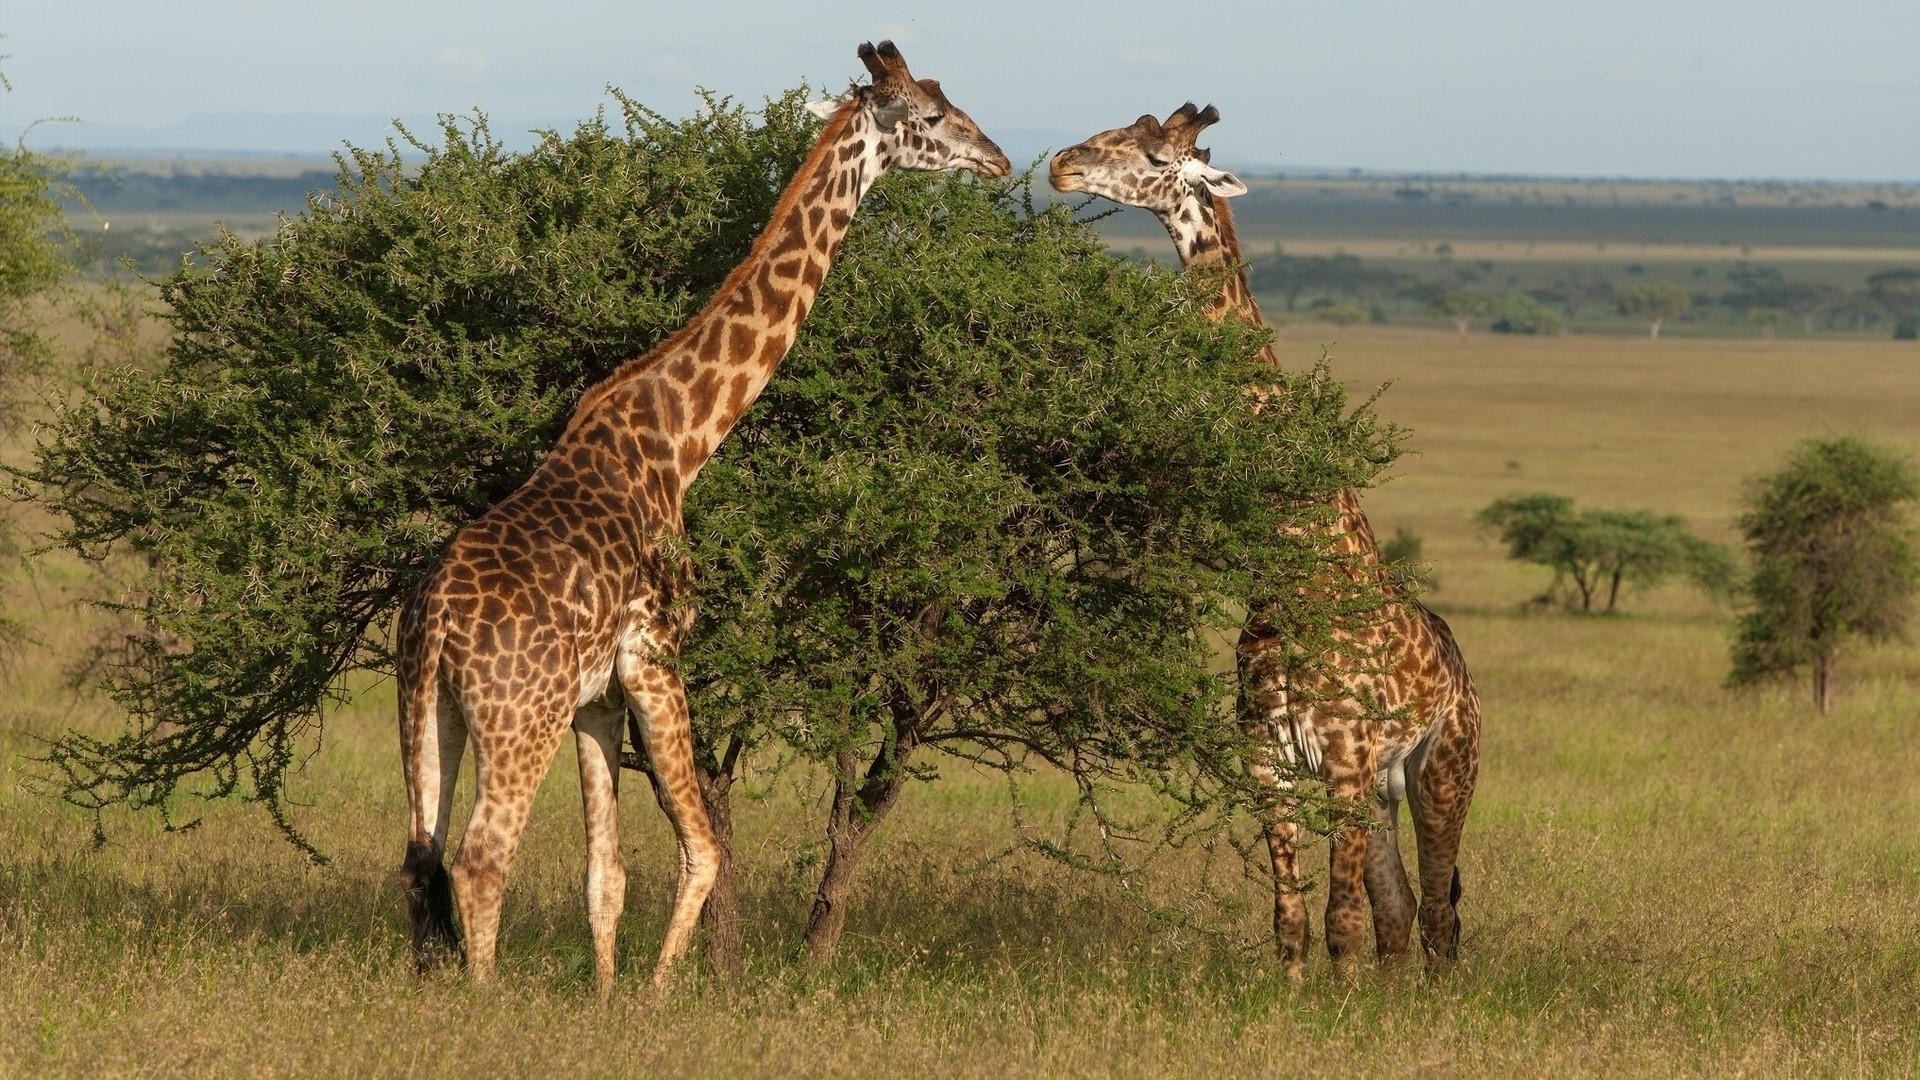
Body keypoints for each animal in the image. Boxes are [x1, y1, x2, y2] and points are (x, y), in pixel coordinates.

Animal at [397, 39, 1013, 991]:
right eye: (934, 116)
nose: (1000, 160)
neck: (681, 442)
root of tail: (434, 624)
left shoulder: (598, 696)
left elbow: (605, 872)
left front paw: (607, 998)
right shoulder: (658, 654)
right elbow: (704, 850)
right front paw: (654, 995)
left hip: (428, 712)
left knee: (421, 856)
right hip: (517, 716)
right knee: (481, 857)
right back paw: (483, 1001)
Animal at [1052, 102, 1482, 976]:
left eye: (1155, 155)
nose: (1060, 165)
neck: (1292, 567)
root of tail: (1467, 675)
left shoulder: (1346, 763)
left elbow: (1341, 921)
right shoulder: (1269, 760)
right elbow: (1292, 918)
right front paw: (1292, 997)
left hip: (1445, 770)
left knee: (1437, 919)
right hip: (1386, 788)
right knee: (1402, 913)